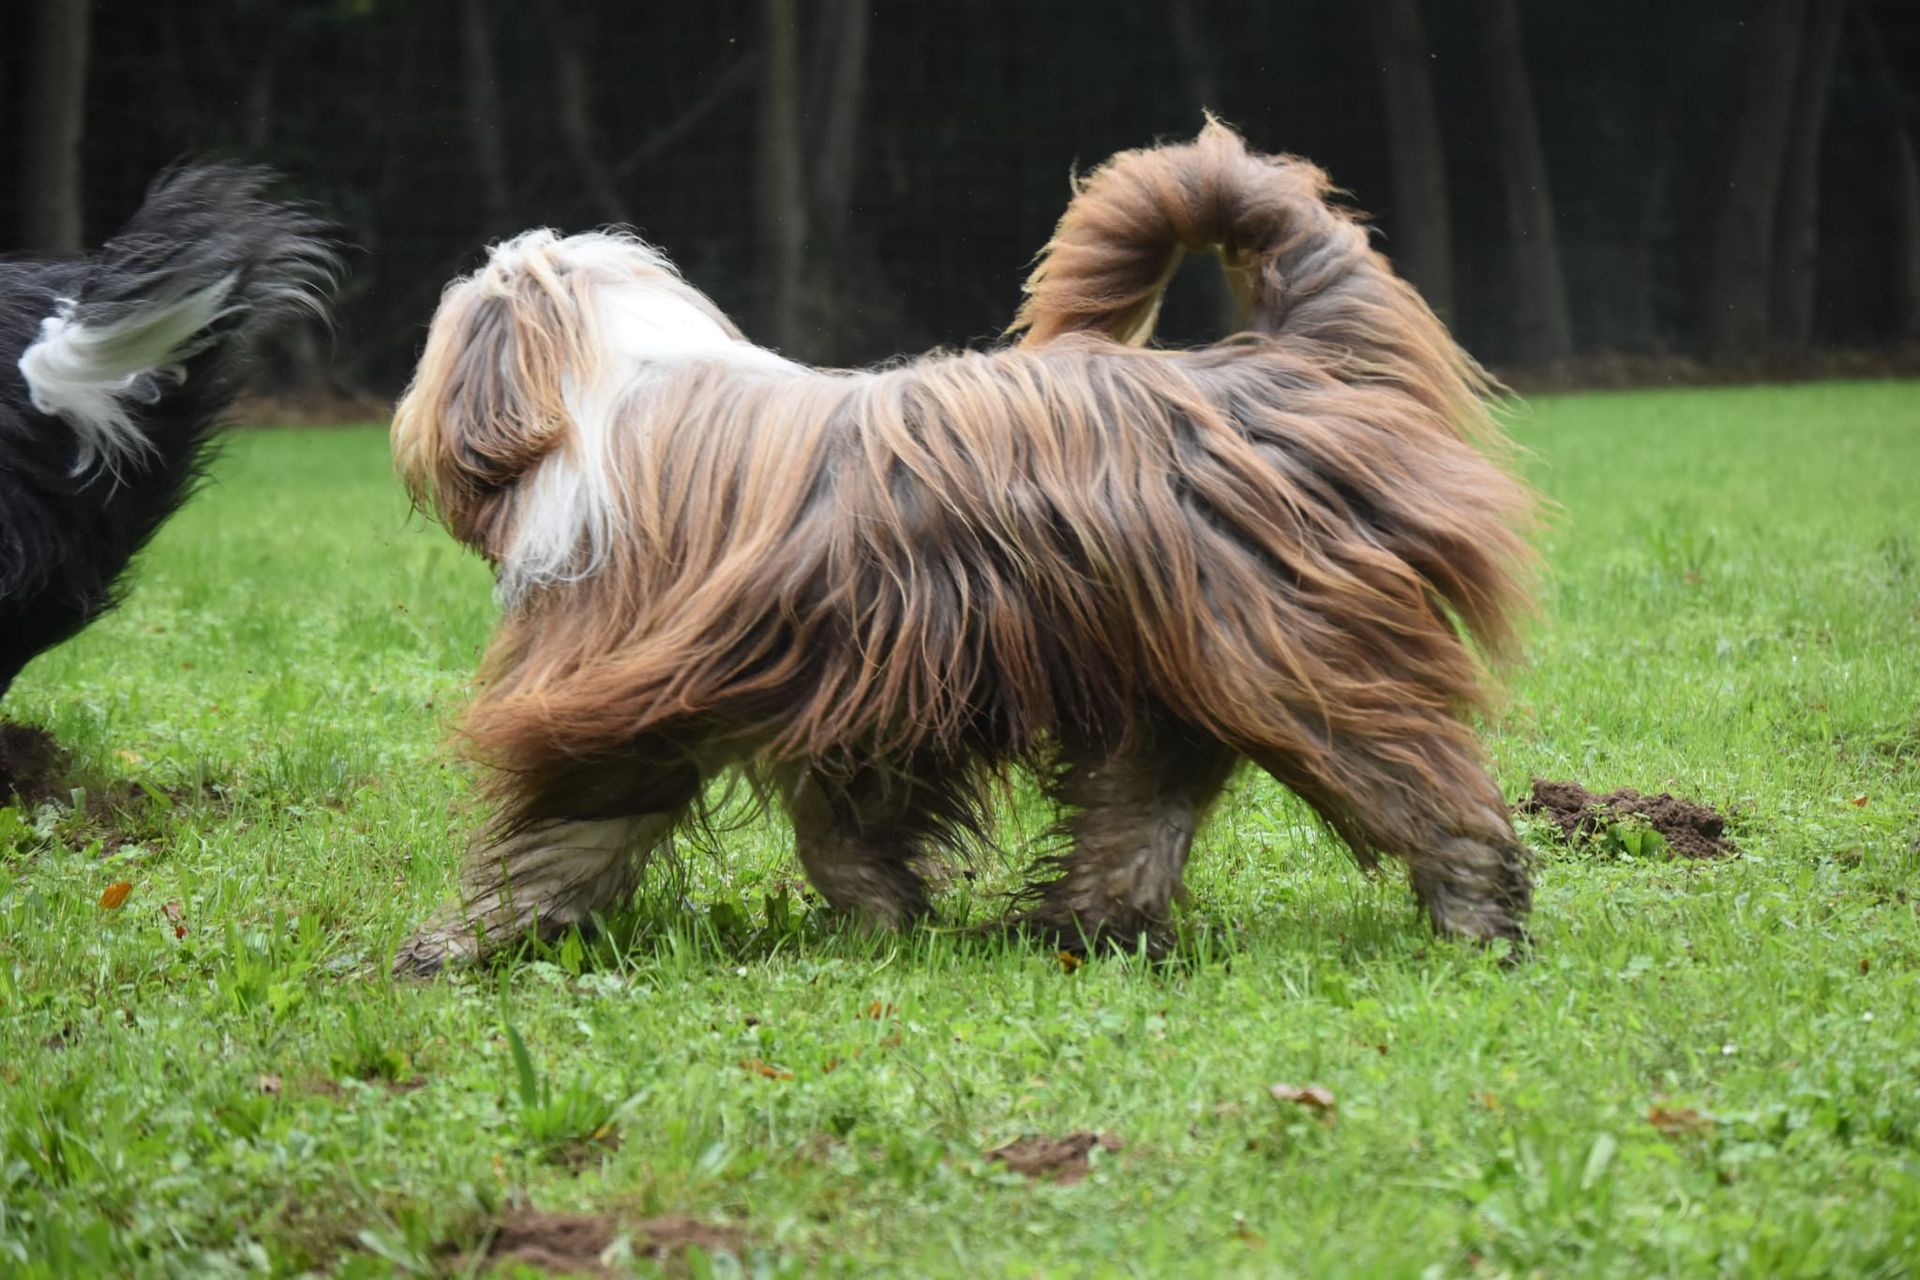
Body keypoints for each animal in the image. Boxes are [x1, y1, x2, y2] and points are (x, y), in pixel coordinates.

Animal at [388, 123, 1538, 975]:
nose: (407, 437)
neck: (598, 389)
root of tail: (1285, 363)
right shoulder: (860, 683)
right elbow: (843, 829)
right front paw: (886, 914)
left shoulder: (635, 687)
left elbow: (570, 831)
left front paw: (458, 943)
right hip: (1159, 659)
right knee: (1143, 807)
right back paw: (1080, 927)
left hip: (1284, 644)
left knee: (1409, 774)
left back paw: (1475, 911)